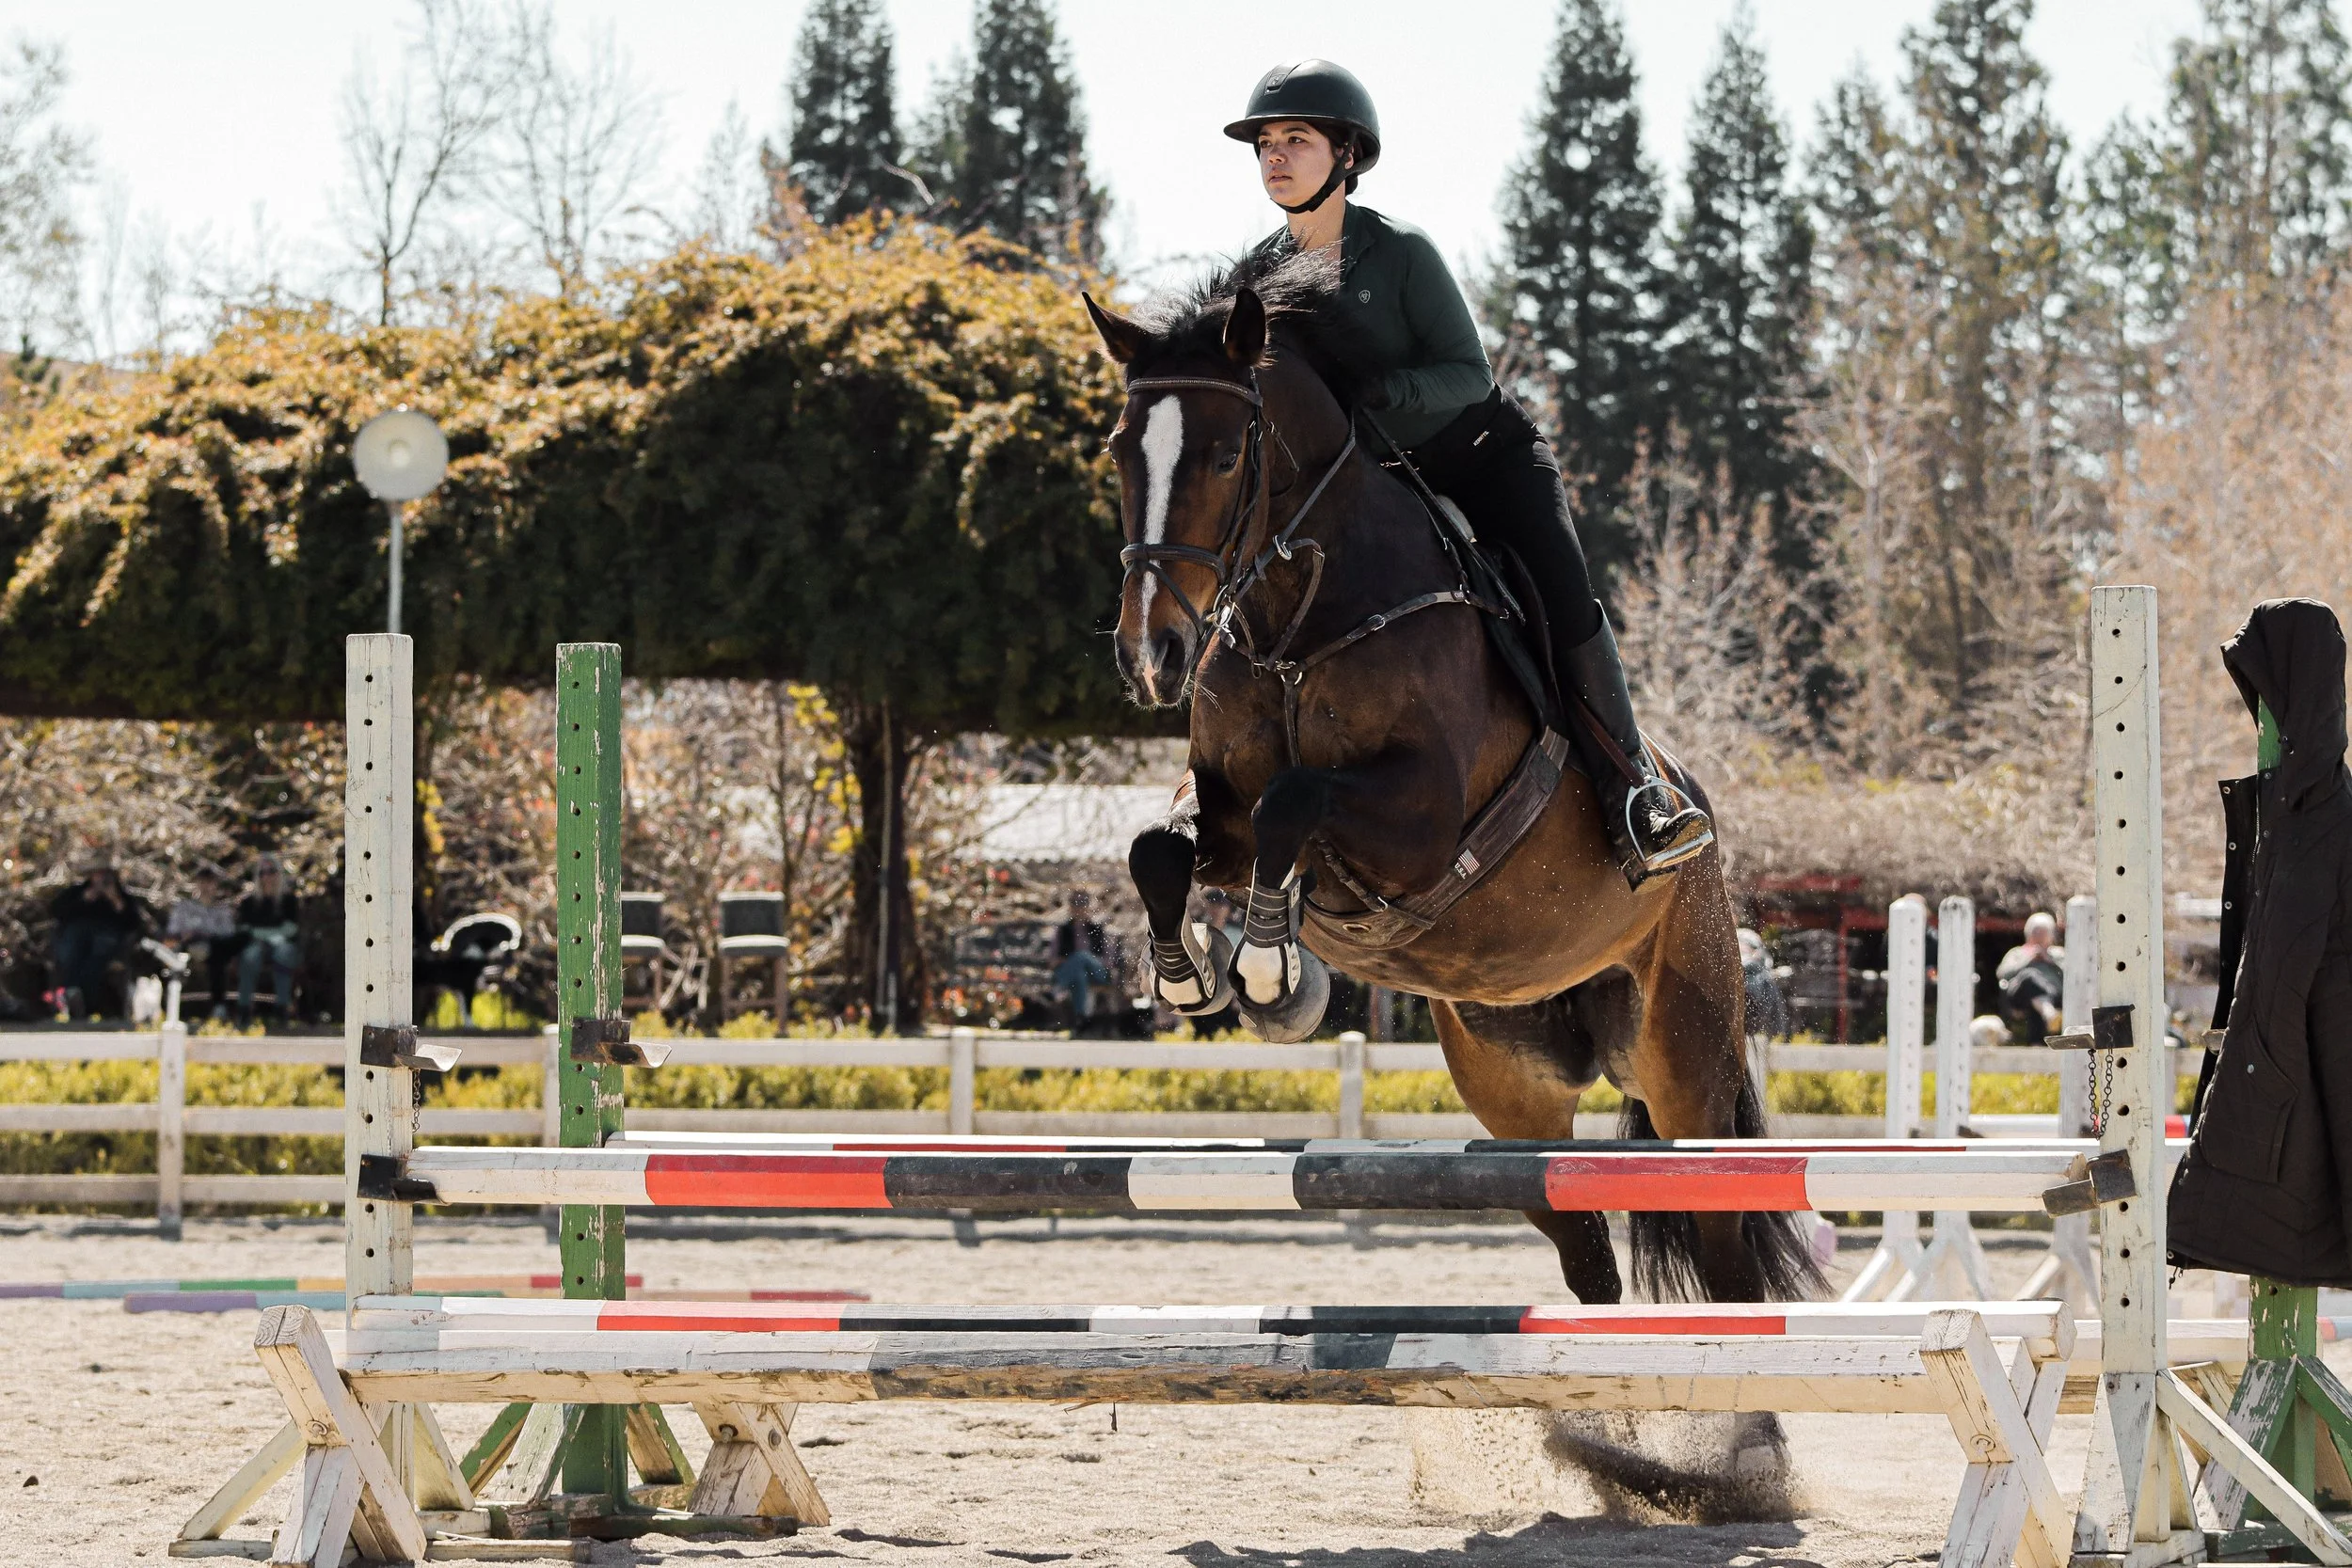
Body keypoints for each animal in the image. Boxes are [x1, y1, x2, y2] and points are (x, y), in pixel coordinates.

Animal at [1083, 252, 1819, 1306]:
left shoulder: (1420, 823)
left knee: (1723, 1247)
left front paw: (1266, 966)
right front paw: (1190, 977)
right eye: (1119, 454)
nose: (1152, 656)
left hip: (1688, 1059)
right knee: (1587, 1255)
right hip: (1510, 1086)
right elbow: (1161, 844)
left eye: (1226, 457)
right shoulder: (1217, 807)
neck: (1298, 620)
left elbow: (1293, 803)